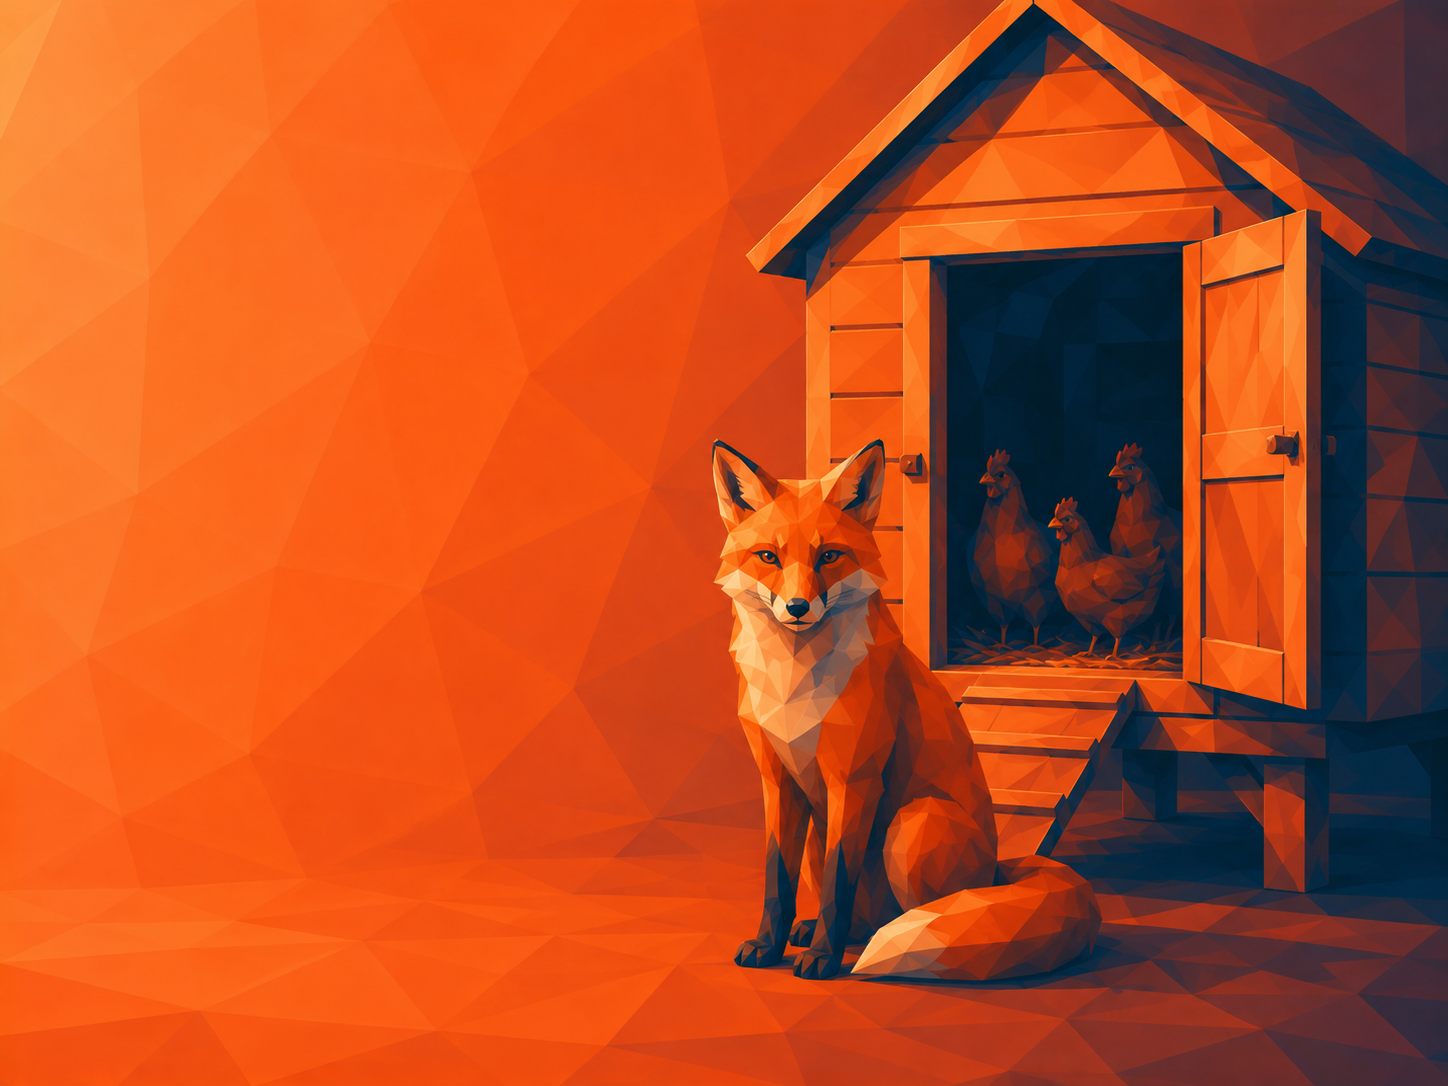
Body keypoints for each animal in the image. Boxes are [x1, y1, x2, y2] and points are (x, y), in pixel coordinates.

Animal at [713, 438, 1099, 981]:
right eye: (768, 556)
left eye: (829, 556)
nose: (797, 608)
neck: (793, 686)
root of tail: (997, 871)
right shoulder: (779, 781)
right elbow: (776, 880)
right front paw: (767, 947)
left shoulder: (853, 779)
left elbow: (838, 883)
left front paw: (823, 959)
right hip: (821, 832)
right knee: (866, 916)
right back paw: (818, 933)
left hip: (913, 822)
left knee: (919, 914)